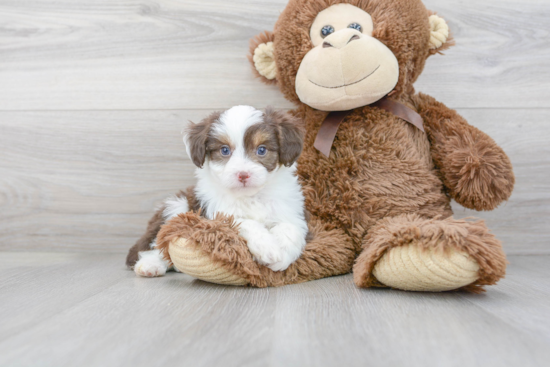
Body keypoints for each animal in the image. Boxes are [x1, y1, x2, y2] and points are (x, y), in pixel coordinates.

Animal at [128, 105, 310, 278]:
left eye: (262, 150)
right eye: (224, 150)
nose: (243, 174)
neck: (250, 196)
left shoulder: (289, 209)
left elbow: (291, 227)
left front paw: (283, 255)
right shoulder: (215, 215)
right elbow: (243, 222)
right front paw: (267, 247)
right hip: (176, 205)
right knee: (157, 243)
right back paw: (150, 265)